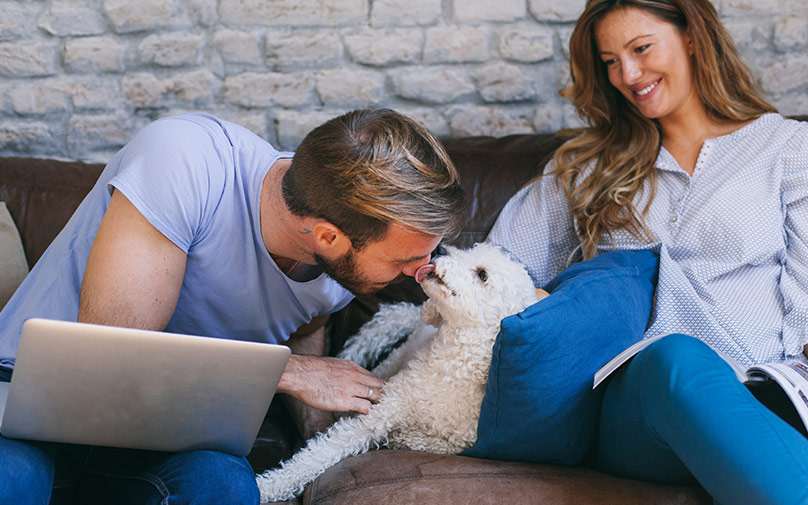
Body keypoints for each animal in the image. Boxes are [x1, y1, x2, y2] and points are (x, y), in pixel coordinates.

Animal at [256, 243, 540, 500]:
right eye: (470, 249)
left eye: (482, 275)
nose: (439, 250)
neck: (452, 367)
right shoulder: (382, 411)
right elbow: (320, 453)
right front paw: (268, 486)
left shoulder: (462, 442)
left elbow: (434, 443)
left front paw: (403, 437)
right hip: (396, 359)